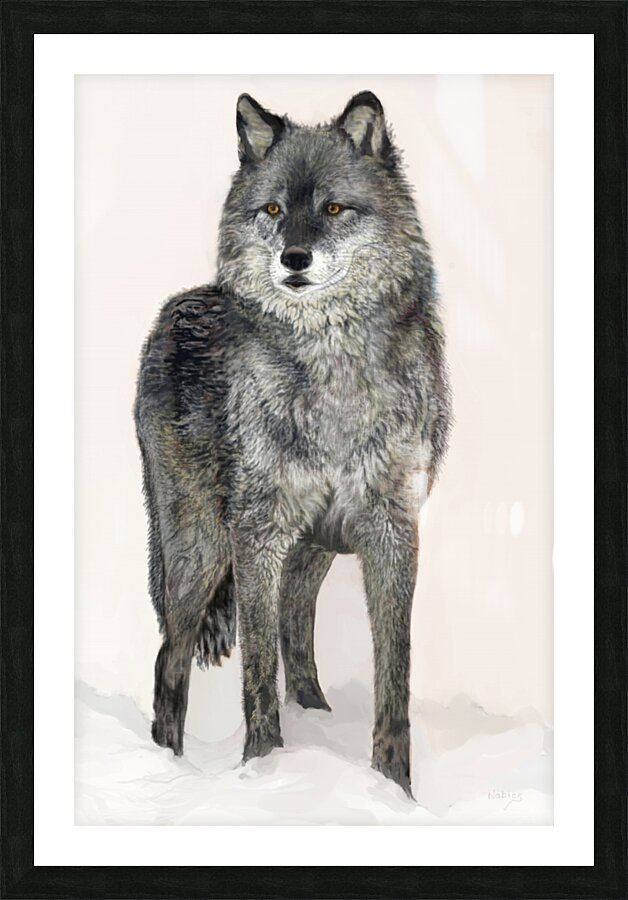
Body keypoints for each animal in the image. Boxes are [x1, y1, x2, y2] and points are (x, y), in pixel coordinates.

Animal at [135, 91, 451, 797]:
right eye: (274, 211)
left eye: (333, 209)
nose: (294, 260)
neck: (331, 372)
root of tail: (172, 309)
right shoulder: (257, 532)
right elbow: (256, 671)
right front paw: (264, 770)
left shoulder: (392, 531)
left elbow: (394, 675)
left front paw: (394, 789)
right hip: (200, 551)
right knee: (171, 658)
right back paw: (166, 767)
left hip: (311, 551)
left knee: (296, 637)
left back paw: (315, 720)